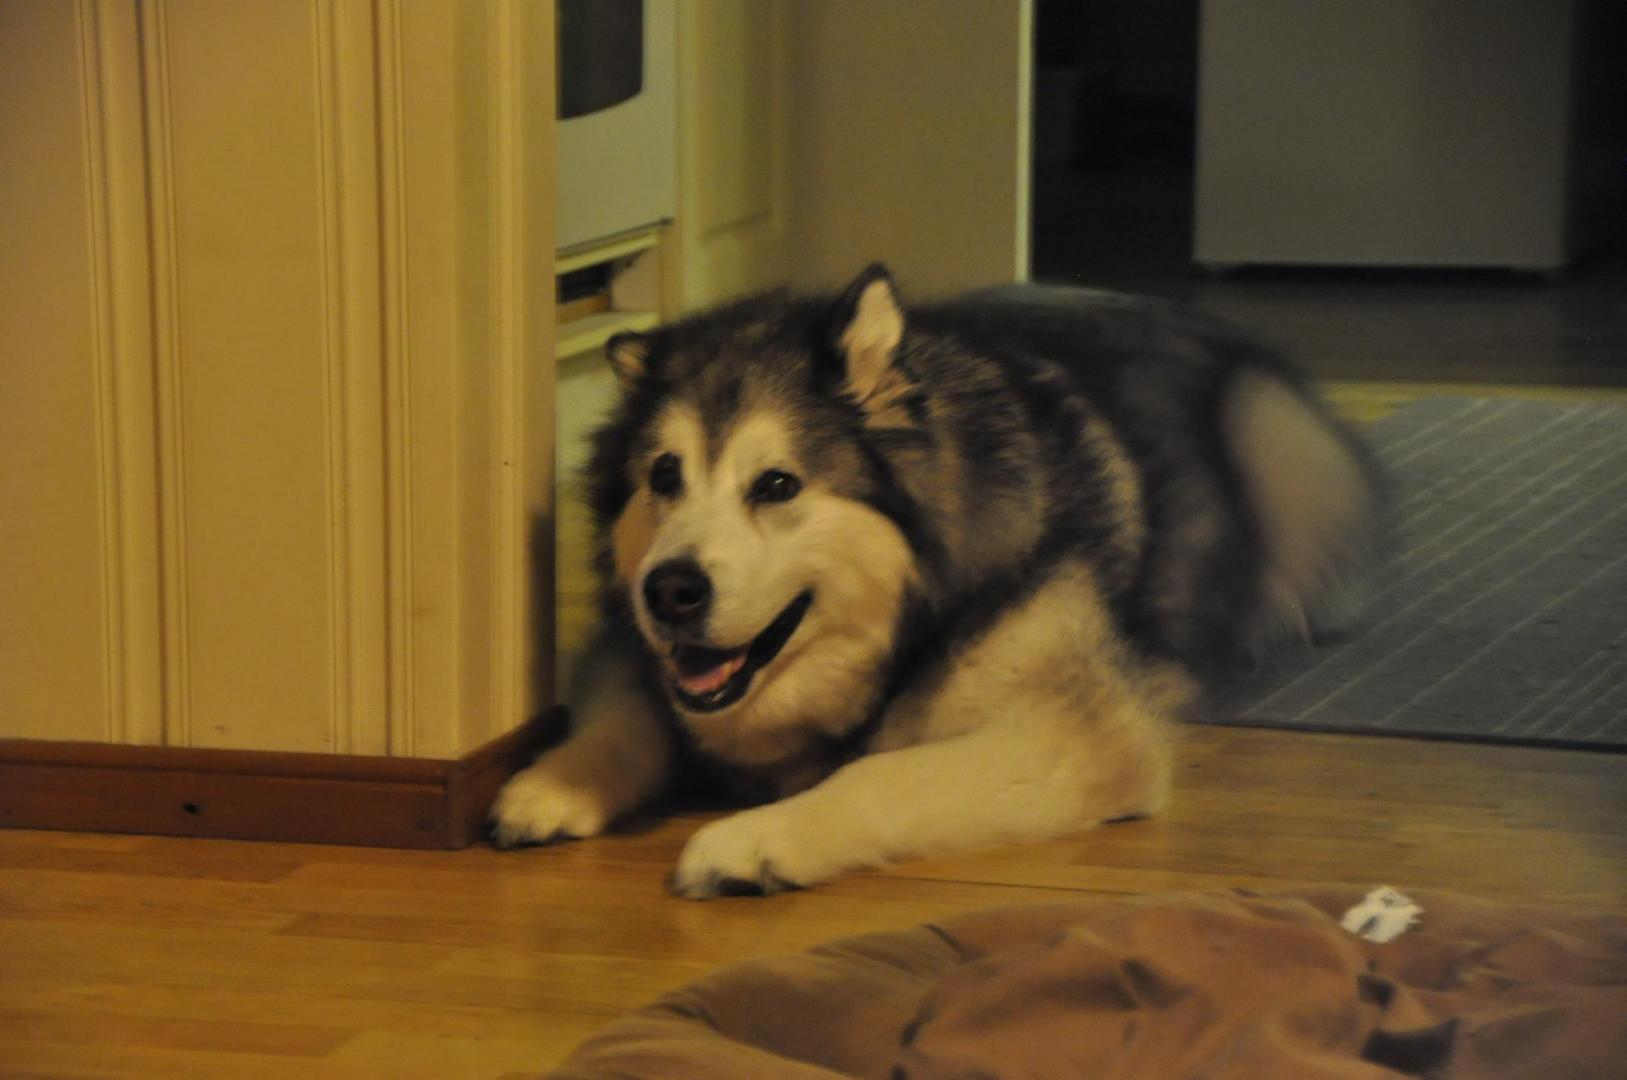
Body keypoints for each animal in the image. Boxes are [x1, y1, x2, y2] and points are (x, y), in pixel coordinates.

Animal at [489, 265, 1384, 898]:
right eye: (664, 476)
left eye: (776, 484)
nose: (670, 591)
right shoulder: (623, 638)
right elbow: (629, 715)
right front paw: (552, 781)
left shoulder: (1079, 733)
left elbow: (880, 773)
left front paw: (754, 837)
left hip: (1278, 444)